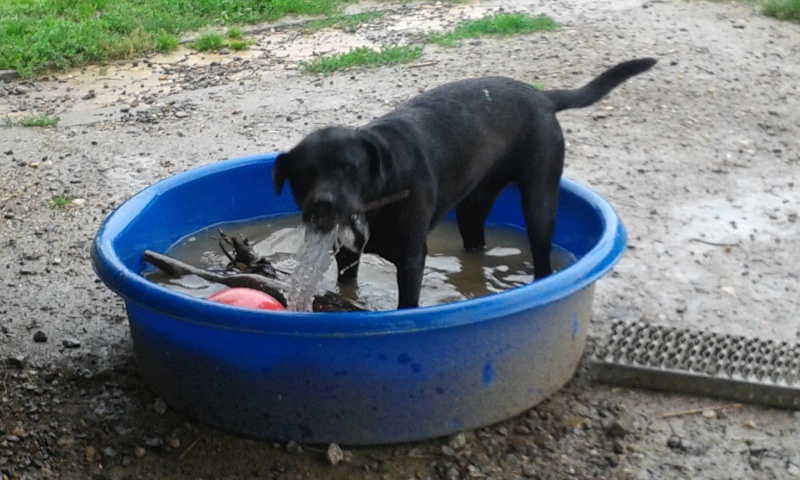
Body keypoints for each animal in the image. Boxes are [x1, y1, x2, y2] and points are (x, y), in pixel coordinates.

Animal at [272, 59, 652, 308]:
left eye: (350, 170)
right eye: (303, 176)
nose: (323, 204)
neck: (380, 194)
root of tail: (543, 97)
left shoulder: (412, 258)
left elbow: (407, 304)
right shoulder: (348, 254)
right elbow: (347, 283)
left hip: (539, 200)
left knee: (542, 252)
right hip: (473, 208)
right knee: (474, 239)